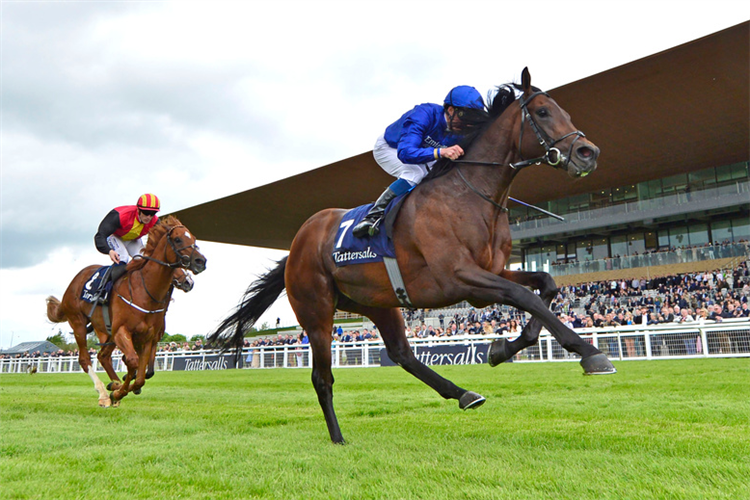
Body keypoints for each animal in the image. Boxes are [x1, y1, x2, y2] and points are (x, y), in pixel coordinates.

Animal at [47, 215, 207, 406]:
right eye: (178, 239)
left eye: (194, 239)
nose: (201, 261)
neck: (145, 292)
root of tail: (73, 283)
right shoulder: (122, 332)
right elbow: (132, 362)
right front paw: (118, 391)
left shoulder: (148, 338)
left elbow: (142, 375)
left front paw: (120, 389)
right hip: (78, 322)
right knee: (85, 359)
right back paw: (103, 393)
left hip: (107, 333)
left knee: (103, 356)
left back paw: (113, 385)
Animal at [207, 68, 616, 444]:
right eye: (544, 112)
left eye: (564, 111)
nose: (589, 153)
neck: (471, 196)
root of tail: (296, 245)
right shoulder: (462, 278)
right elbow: (525, 296)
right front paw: (589, 353)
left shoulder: (491, 272)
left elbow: (545, 286)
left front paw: (501, 349)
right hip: (317, 312)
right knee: (322, 377)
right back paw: (338, 437)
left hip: (378, 302)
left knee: (402, 354)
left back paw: (463, 394)